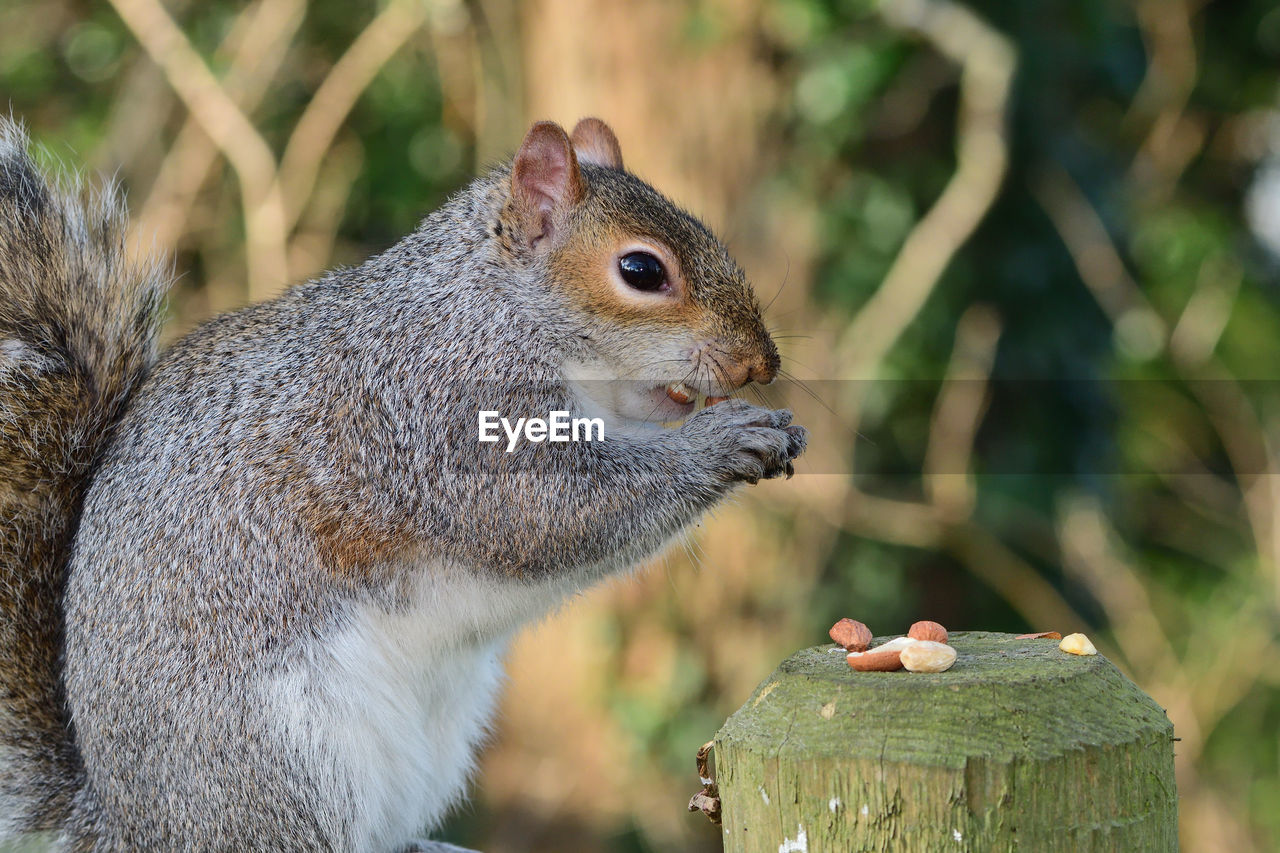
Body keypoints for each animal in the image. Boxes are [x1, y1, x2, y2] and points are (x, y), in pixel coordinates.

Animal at [0, 116, 798, 845]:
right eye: (641, 271)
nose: (761, 361)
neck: (493, 309)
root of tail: (130, 826)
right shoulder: (442, 415)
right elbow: (551, 514)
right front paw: (728, 438)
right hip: (290, 763)